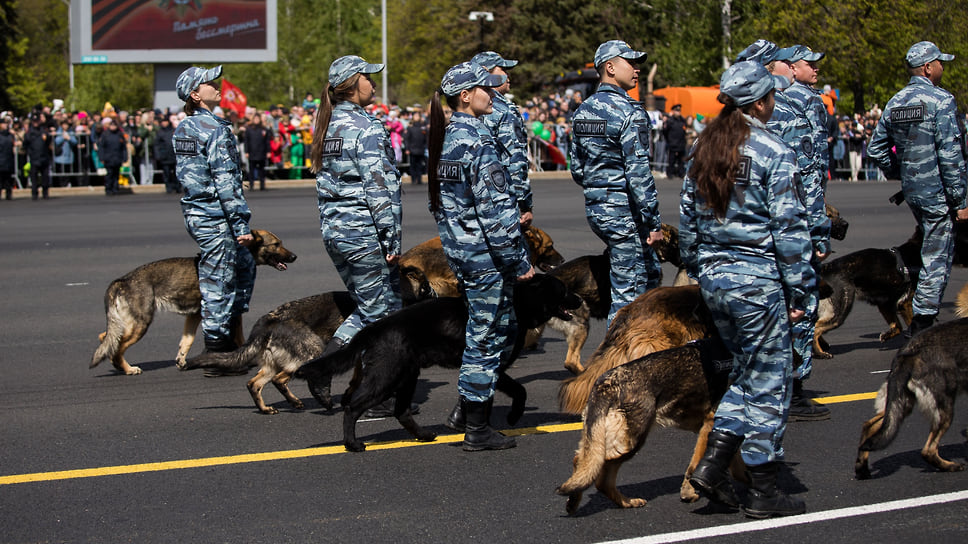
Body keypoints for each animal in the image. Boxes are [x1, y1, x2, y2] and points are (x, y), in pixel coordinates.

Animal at [90, 228, 294, 374]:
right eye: (276, 244)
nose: (294, 256)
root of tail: (122, 280)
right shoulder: (234, 312)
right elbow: (240, 338)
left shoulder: (194, 316)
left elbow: (186, 342)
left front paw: (182, 362)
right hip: (141, 324)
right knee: (118, 346)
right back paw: (127, 369)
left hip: (128, 323)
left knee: (106, 339)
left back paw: (117, 364)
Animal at [179, 268, 434, 416]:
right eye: (426, 284)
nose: (435, 294)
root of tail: (269, 319)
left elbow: (355, 380)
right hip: (311, 351)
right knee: (281, 380)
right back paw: (306, 400)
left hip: (273, 363)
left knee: (254, 383)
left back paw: (268, 408)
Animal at [294, 274, 584, 452]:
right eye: (563, 289)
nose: (581, 299)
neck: (517, 306)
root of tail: (375, 327)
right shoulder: (493, 366)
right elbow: (518, 391)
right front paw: (511, 418)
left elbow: (477, 398)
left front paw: (465, 424)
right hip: (387, 376)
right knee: (353, 407)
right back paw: (352, 444)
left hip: (406, 374)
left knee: (401, 411)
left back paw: (423, 435)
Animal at [552, 340, 748, 516]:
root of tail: (607, 383)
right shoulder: (710, 424)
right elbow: (695, 465)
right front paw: (690, 491)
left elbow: (739, 469)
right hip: (632, 442)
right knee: (600, 473)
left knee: (584, 464)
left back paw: (588, 500)